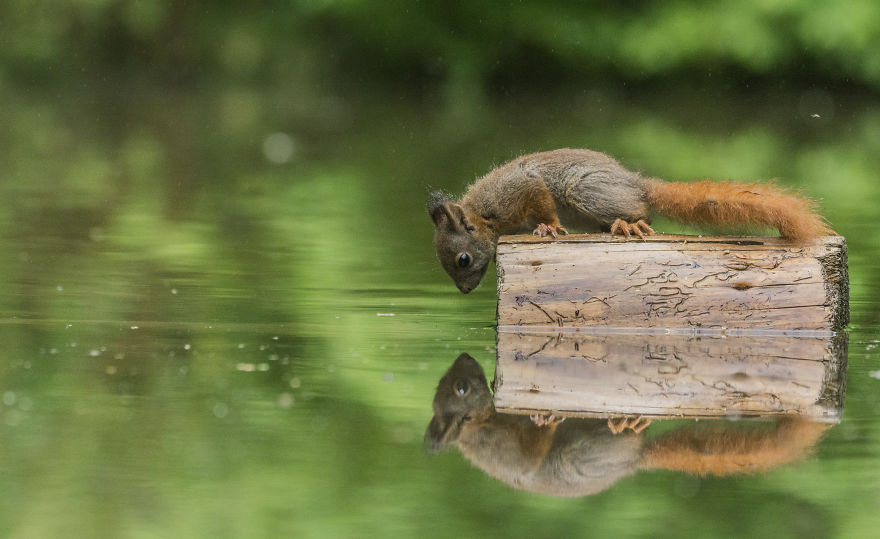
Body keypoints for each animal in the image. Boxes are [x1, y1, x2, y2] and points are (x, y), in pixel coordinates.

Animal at [426, 353, 830, 497]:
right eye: (460, 387)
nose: (465, 359)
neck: (479, 428)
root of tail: (633, 460)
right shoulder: (510, 449)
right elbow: (532, 449)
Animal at [428, 148, 832, 292]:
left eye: (463, 259)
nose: (465, 291)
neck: (483, 217)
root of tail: (636, 183)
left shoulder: (519, 189)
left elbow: (541, 201)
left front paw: (548, 227)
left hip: (585, 190)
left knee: (638, 212)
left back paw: (627, 225)